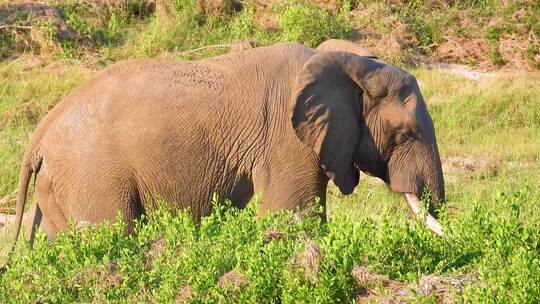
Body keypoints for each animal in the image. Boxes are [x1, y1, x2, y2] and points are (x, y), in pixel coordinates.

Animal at [8, 41, 446, 253]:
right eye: (405, 134)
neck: (354, 64)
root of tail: (40, 132)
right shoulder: (287, 139)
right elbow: (291, 215)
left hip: (60, 182)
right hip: (90, 171)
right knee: (111, 230)